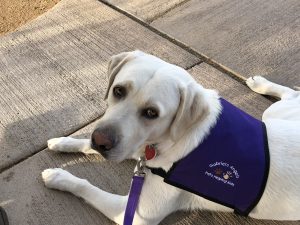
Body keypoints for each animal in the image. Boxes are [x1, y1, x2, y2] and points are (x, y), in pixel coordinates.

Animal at [41, 50, 300, 224]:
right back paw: (261, 83)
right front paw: (64, 142)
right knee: (291, 94)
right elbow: (87, 144)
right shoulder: (139, 149)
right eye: (118, 90)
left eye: (151, 113)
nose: (101, 141)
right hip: (273, 115)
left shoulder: (134, 214)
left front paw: (58, 176)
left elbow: (86, 186)